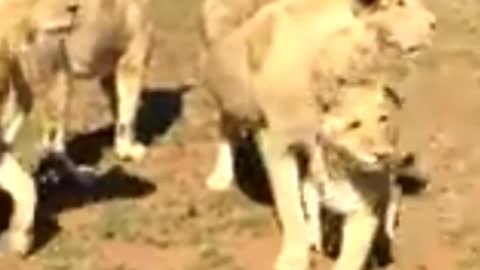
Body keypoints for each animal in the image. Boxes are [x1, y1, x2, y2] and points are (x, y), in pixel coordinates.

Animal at [200, 0, 436, 270]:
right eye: (399, 4)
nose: (433, 22)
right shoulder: (276, 143)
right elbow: (290, 207)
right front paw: (293, 258)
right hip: (228, 97)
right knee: (225, 128)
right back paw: (220, 177)